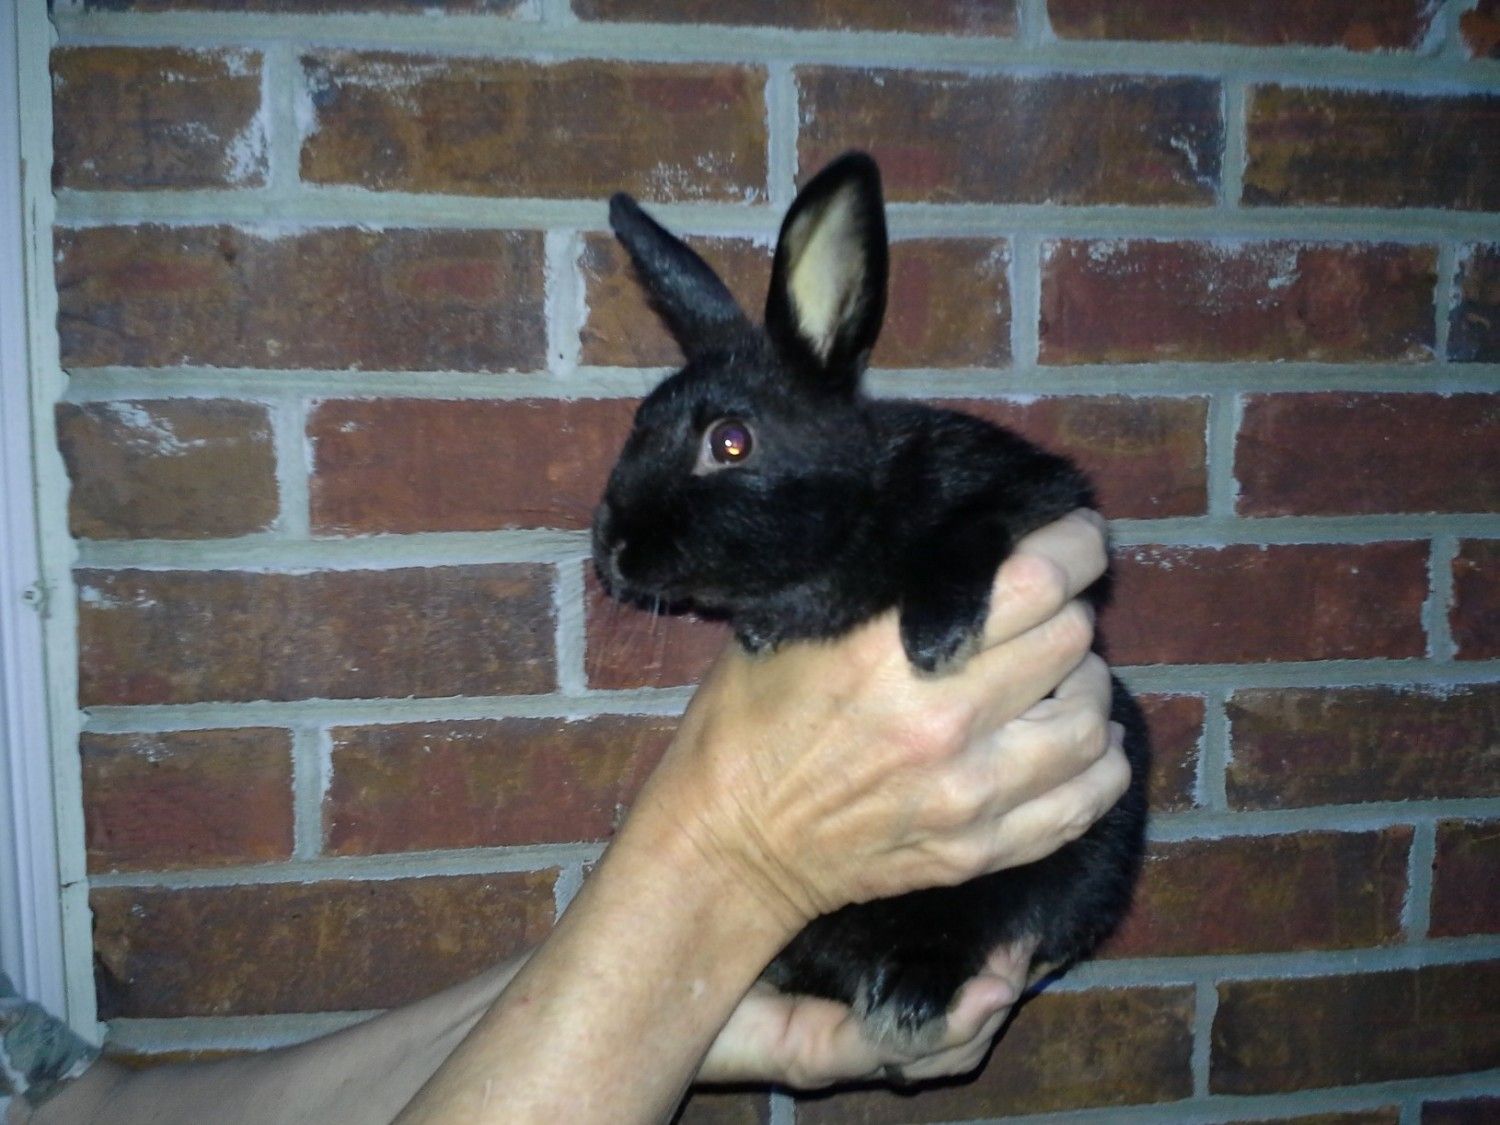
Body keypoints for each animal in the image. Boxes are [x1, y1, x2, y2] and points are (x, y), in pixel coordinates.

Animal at [591, 151, 1148, 1052]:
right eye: (637, 422)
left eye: (730, 442)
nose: (608, 549)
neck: (851, 514)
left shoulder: (1032, 496)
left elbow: (969, 533)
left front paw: (937, 638)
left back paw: (911, 995)